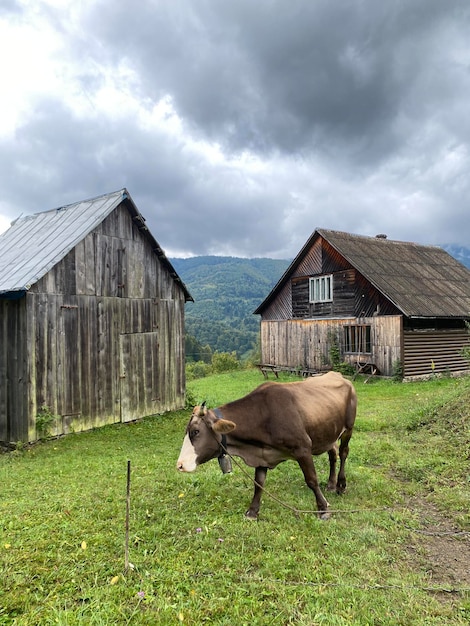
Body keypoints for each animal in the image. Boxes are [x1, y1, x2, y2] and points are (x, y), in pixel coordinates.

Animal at [177, 370, 356, 516]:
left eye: (195, 432)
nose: (180, 465)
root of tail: (338, 375)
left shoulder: (303, 447)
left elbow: (312, 479)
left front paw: (323, 509)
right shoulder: (262, 454)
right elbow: (259, 483)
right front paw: (252, 511)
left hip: (348, 428)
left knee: (343, 452)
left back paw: (341, 485)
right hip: (328, 432)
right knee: (333, 453)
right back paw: (331, 484)